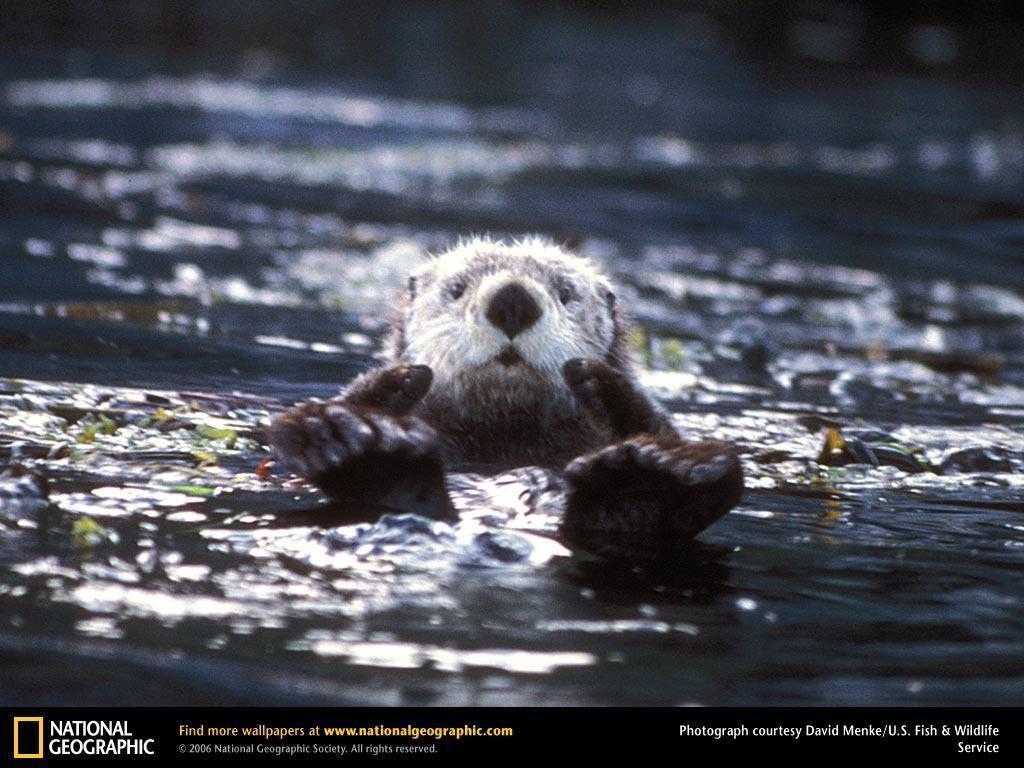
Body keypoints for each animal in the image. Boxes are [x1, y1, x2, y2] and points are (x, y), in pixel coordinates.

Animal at [268, 237, 741, 548]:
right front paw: (398, 381)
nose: (513, 300)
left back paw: (648, 474)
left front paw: (602, 382)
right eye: (457, 289)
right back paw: (354, 441)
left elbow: (653, 419)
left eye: (565, 293)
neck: (505, 434)